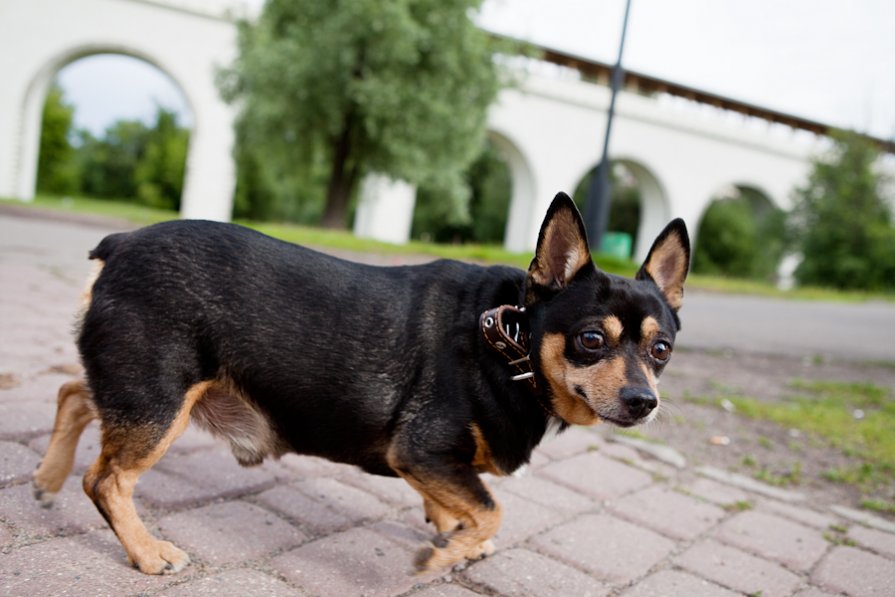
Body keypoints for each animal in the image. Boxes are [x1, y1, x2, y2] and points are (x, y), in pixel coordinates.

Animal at [33, 191, 692, 572]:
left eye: (661, 350)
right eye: (591, 340)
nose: (644, 402)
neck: (511, 344)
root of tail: (122, 243)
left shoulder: (434, 463)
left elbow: (462, 504)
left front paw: (451, 537)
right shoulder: (422, 450)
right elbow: (490, 509)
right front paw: (441, 556)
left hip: (141, 390)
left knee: (74, 394)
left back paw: (46, 478)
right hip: (158, 399)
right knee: (107, 479)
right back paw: (146, 552)